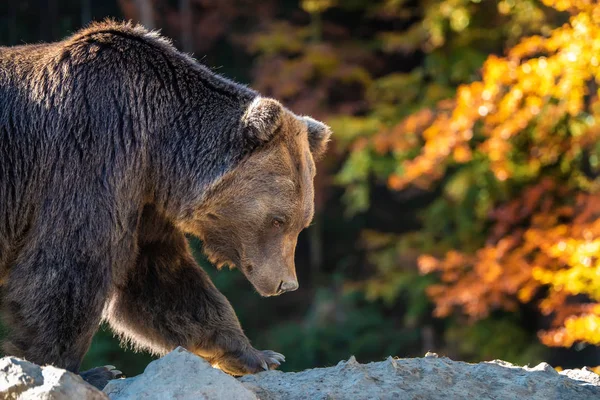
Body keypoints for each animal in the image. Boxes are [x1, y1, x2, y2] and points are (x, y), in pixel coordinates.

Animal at [0, 20, 328, 390]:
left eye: (302, 222)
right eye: (277, 220)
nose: (287, 284)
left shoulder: (144, 194)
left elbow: (158, 275)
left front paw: (258, 355)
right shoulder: (91, 150)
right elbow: (69, 261)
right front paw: (82, 369)